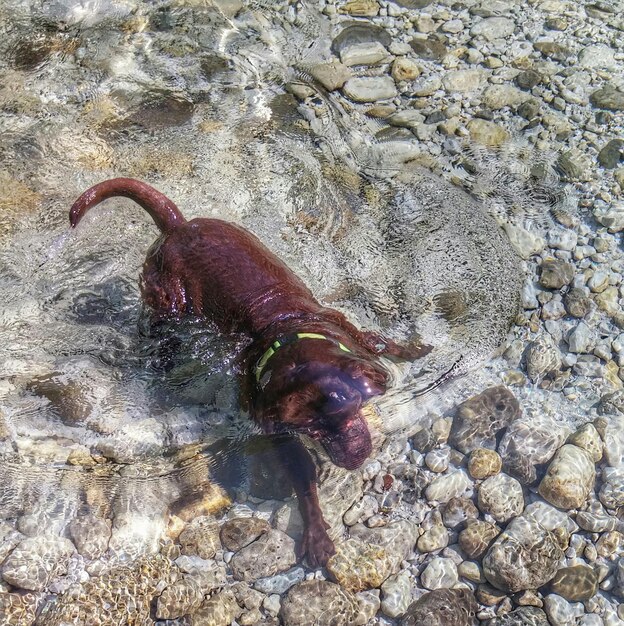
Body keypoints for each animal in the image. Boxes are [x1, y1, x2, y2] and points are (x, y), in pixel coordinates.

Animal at [67, 177, 428, 564]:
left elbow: (382, 344)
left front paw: (413, 350)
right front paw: (316, 531)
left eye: (354, 409)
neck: (285, 329)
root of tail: (178, 225)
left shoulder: (350, 334)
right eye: (314, 431)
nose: (354, 461)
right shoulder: (281, 433)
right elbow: (304, 481)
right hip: (165, 297)